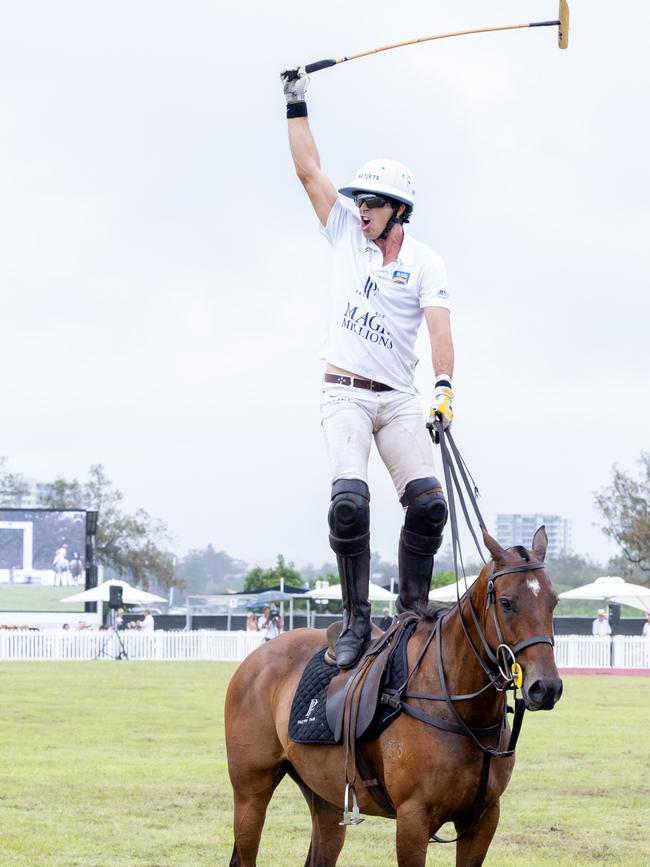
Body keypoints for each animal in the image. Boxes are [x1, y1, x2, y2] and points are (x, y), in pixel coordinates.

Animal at [225, 528, 560, 867]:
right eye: (506, 603)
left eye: (554, 601)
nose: (546, 687)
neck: (460, 708)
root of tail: (254, 659)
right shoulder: (413, 819)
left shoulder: (483, 819)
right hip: (251, 791)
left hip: (325, 797)